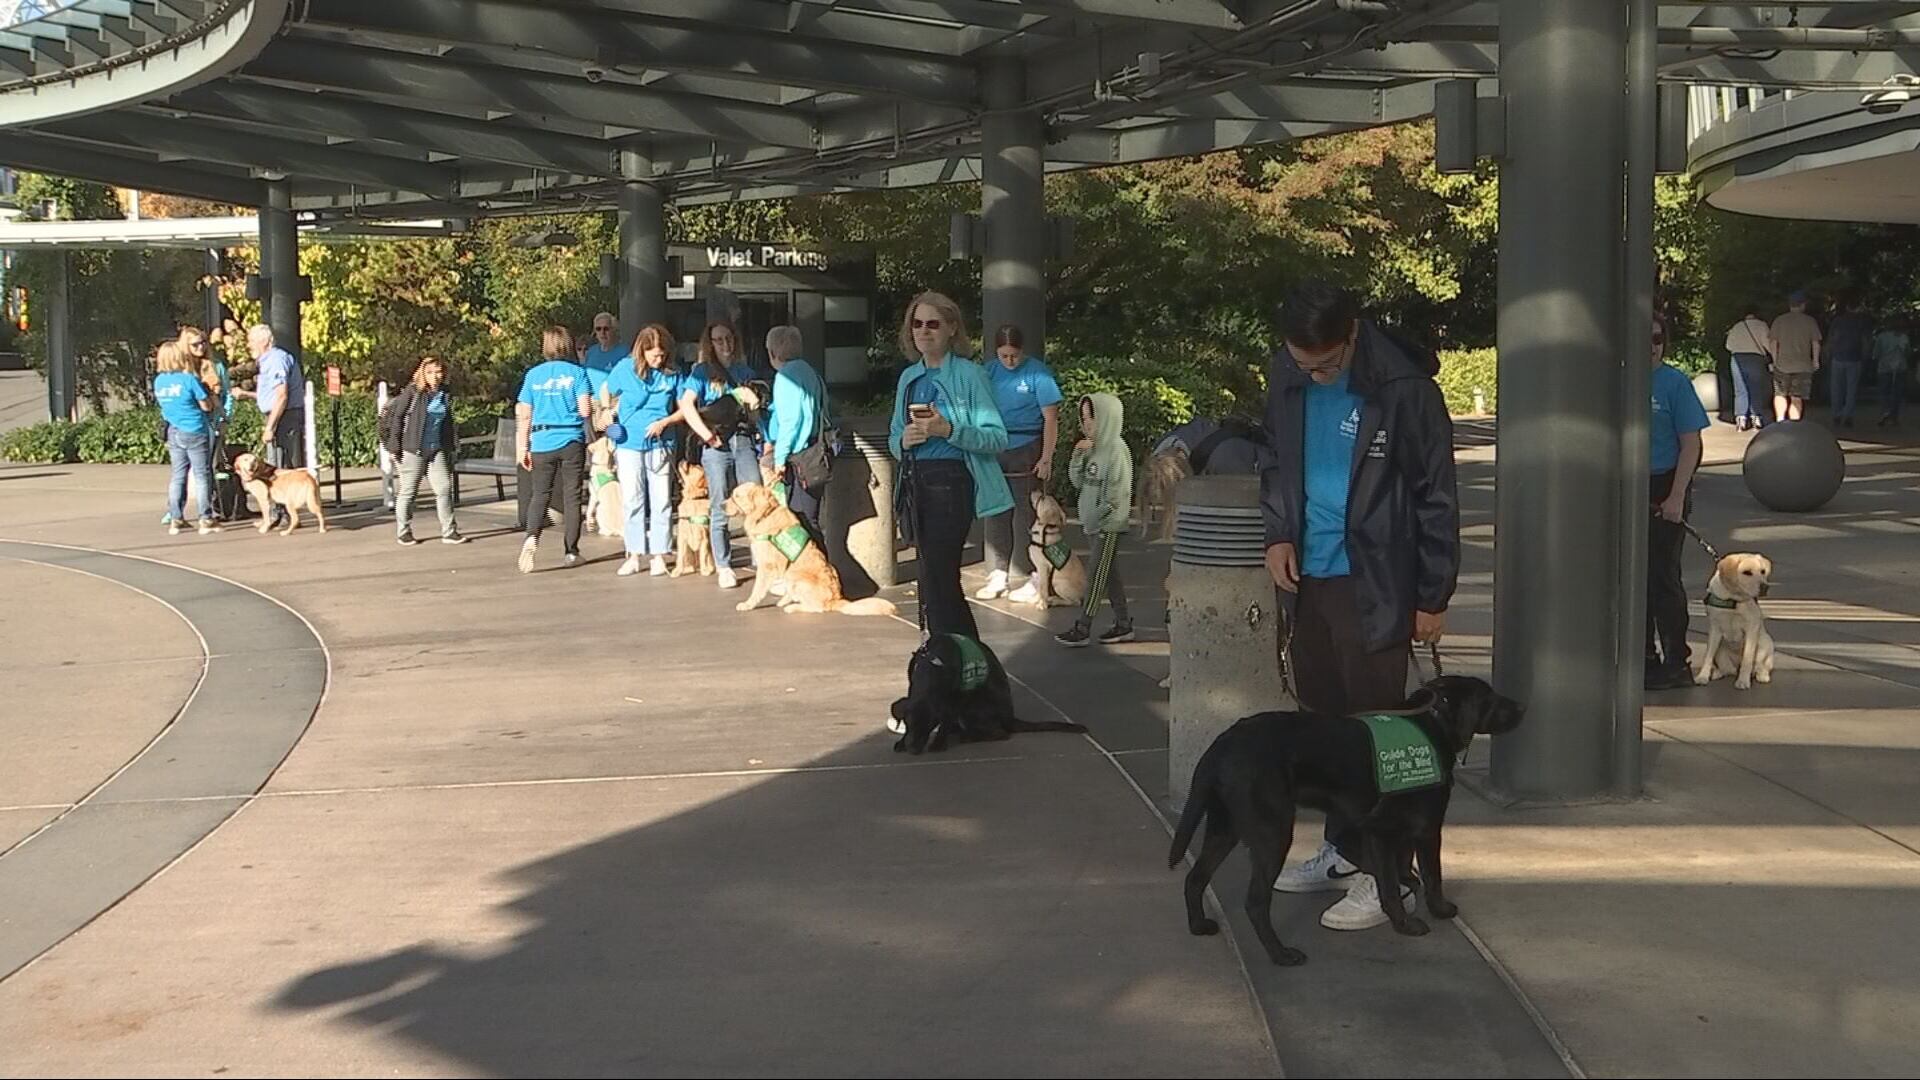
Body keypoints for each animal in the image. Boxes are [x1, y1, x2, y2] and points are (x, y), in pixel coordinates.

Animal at [721, 478, 894, 614]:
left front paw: (748, 604)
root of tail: (836, 599)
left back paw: (792, 607)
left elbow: (757, 589)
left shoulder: (767, 565)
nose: (721, 505)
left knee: (817, 608)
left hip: (797, 578)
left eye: (736, 496)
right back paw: (785, 601)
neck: (765, 514)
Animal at [890, 634, 1090, 753]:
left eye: (929, 725)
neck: (932, 666)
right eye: (908, 724)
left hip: (973, 707)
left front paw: (938, 743)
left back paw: (968, 736)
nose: (913, 749)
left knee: (1000, 733)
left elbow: (945, 722)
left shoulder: (954, 699)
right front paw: (902, 742)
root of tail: (1010, 718)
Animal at [1159, 676, 1520, 960]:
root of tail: (1222, 744)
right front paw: (1425, 915)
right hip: (1272, 832)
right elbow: (1426, 877)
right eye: (1490, 698)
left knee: (1195, 878)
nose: (1523, 707)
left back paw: (1198, 925)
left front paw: (1402, 892)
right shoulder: (1420, 830)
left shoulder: (1375, 830)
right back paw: (1280, 955)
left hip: (1225, 828)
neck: (1433, 722)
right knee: (1255, 902)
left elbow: (1391, 872)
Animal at [1689, 549, 1774, 684]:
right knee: (1726, 669)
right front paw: (1703, 676)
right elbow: (1708, 656)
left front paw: (1743, 681)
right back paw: (1717, 672)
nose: (1765, 587)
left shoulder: (1751, 627)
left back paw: (1761, 674)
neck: (1733, 598)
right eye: (1747, 572)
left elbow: (1747, 658)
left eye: (1763, 571)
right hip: (1721, 652)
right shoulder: (1715, 628)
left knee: (1762, 665)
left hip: (1766, 643)